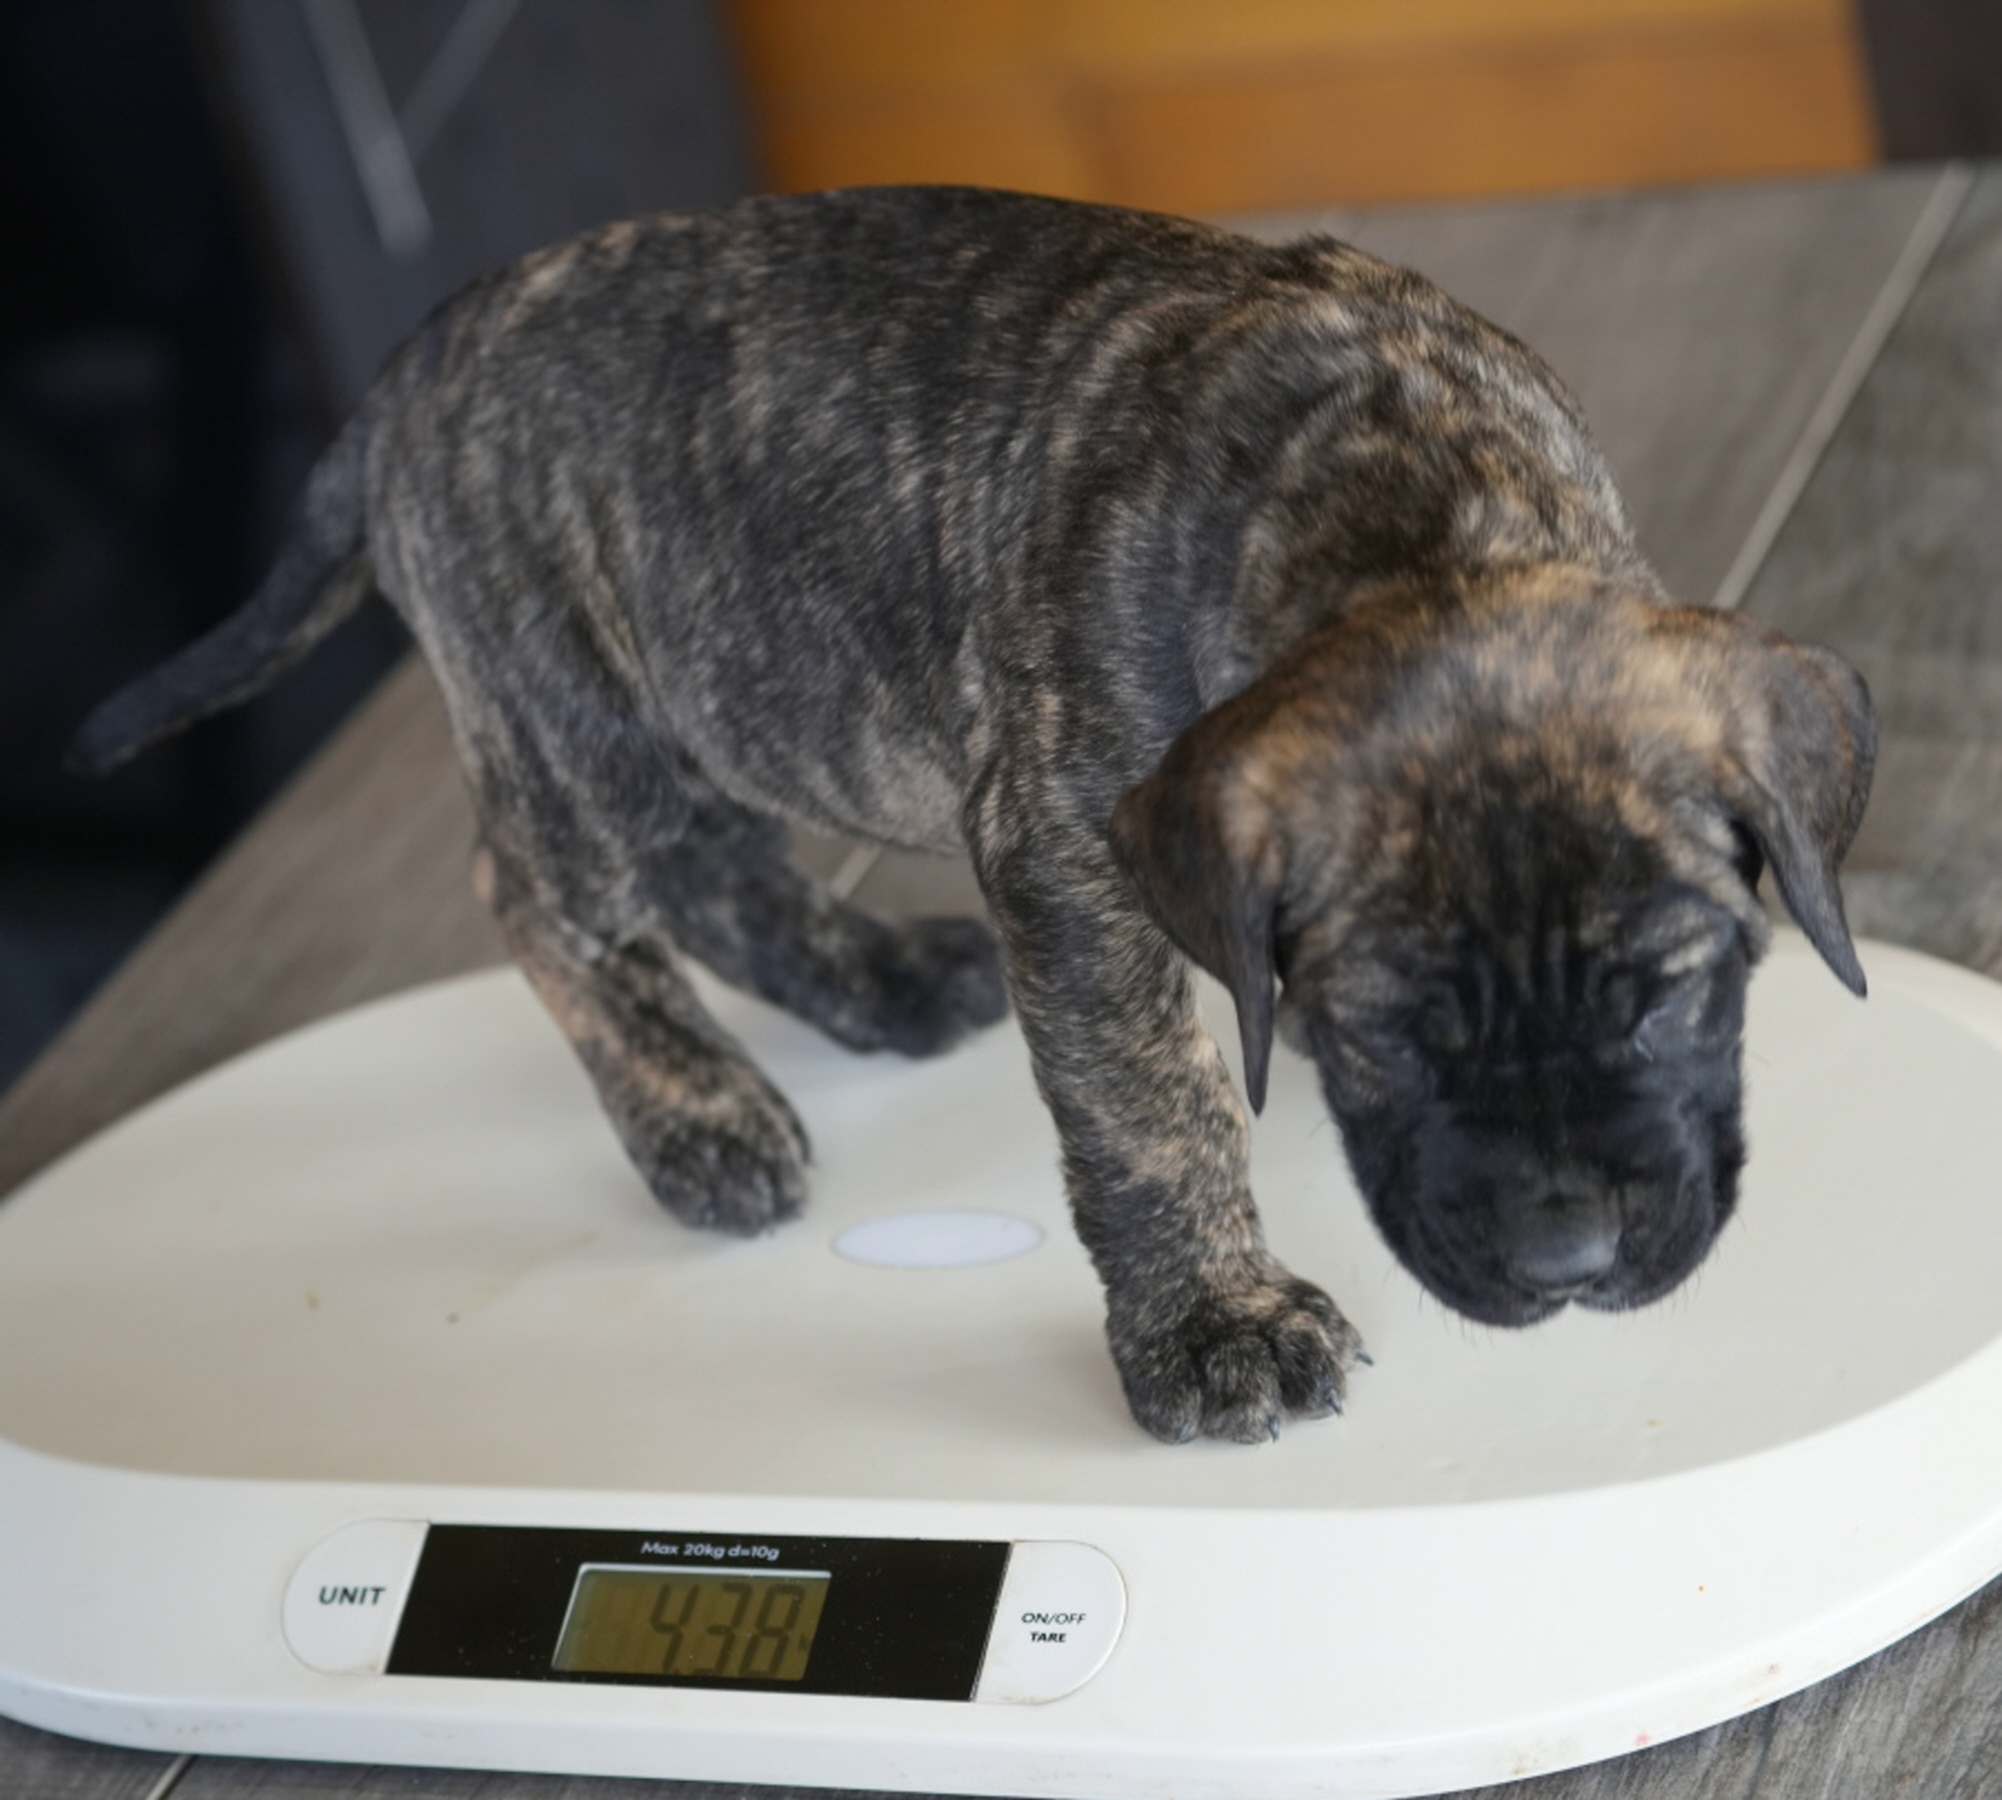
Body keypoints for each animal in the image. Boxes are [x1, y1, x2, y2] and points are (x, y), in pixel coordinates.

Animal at [73, 186, 1875, 1444]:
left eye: (1677, 992)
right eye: (1378, 1034)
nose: (1572, 1262)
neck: (1400, 505)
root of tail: (402, 380)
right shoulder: (1071, 863)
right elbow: (1152, 1111)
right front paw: (1213, 1324)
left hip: (735, 688)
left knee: (714, 863)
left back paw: (871, 986)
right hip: (575, 719)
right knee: (536, 898)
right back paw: (698, 1120)